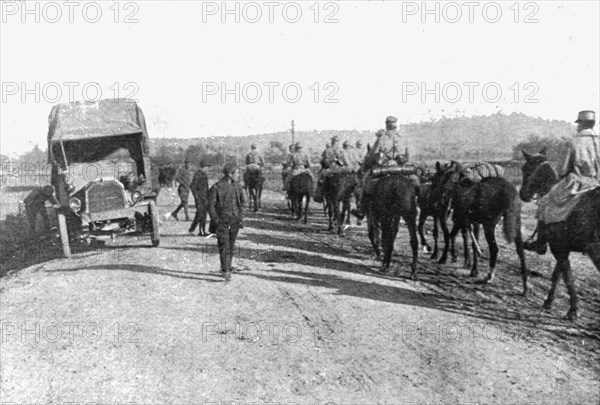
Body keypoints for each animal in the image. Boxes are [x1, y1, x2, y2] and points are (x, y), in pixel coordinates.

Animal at [434, 161, 528, 294]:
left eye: (436, 176)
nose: (439, 201)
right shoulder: (471, 222)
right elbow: (471, 241)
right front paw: (471, 266)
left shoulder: (462, 219)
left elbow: (456, 236)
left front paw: (452, 258)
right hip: (516, 222)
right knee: (520, 250)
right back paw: (525, 286)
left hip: (489, 225)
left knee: (494, 248)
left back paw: (488, 277)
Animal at [520, 148, 600, 318]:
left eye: (525, 169)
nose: (522, 194)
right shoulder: (562, 247)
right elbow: (558, 274)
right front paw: (549, 301)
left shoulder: (558, 248)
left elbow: (566, 276)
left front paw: (573, 309)